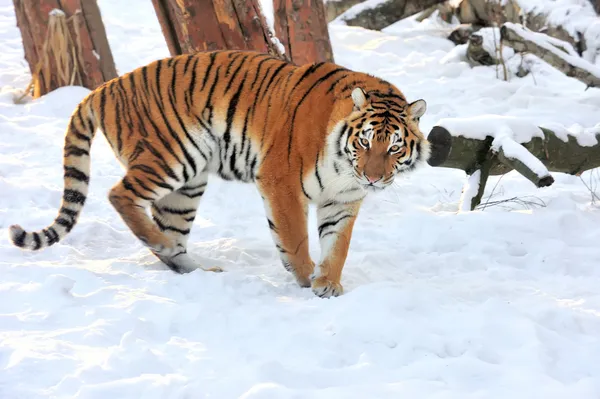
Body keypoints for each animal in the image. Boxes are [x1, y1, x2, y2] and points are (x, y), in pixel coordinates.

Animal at [7, 50, 428, 296]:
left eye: (393, 147)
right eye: (365, 142)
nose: (373, 178)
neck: (346, 169)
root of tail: (105, 87)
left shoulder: (342, 201)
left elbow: (337, 246)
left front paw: (329, 283)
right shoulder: (281, 180)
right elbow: (294, 238)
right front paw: (306, 276)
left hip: (186, 189)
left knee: (170, 233)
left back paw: (196, 269)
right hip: (173, 156)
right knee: (119, 195)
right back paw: (158, 242)